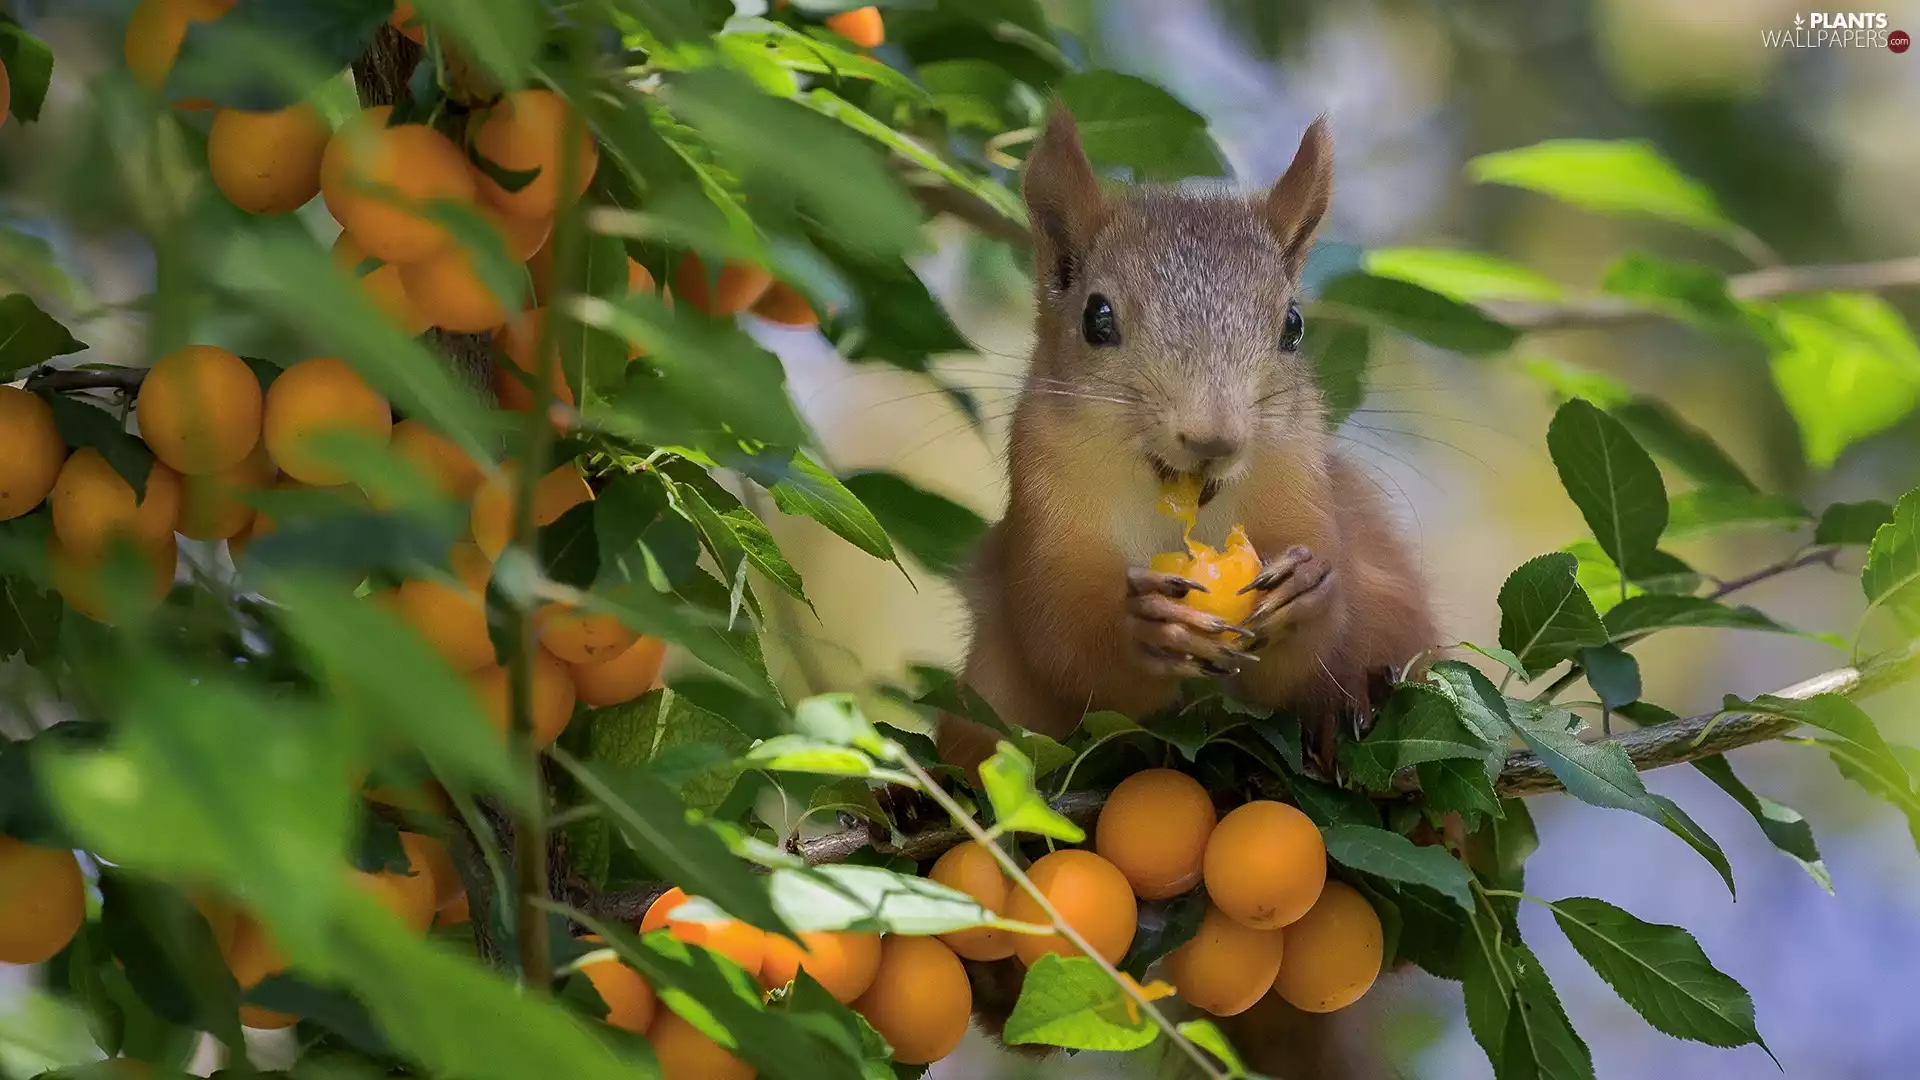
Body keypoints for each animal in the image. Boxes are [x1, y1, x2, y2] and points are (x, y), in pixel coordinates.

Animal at [936, 108, 1436, 777]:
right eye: (1096, 317)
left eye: (1294, 325)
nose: (1214, 437)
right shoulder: (1044, 505)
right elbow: (1064, 637)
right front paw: (1145, 626)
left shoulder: (1300, 486)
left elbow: (1306, 654)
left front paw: (1308, 596)